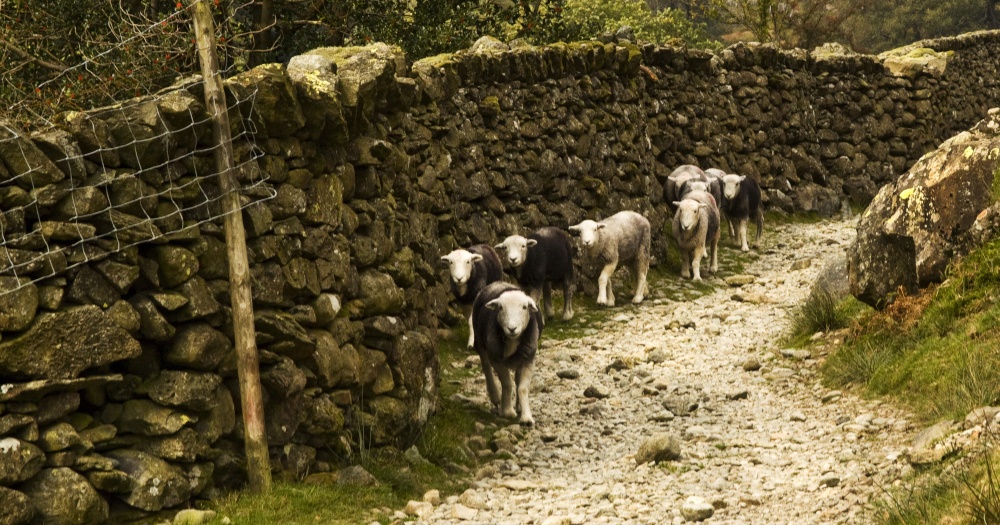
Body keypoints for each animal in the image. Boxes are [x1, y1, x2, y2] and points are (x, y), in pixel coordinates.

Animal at [472, 282, 544, 426]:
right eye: (500, 307)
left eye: (524, 307)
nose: (512, 328)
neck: (512, 340)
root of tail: (497, 283)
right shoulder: (496, 359)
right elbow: (506, 383)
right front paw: (507, 411)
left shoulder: (528, 359)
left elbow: (522, 388)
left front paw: (526, 417)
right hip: (481, 342)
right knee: (486, 366)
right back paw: (495, 395)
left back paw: (519, 406)